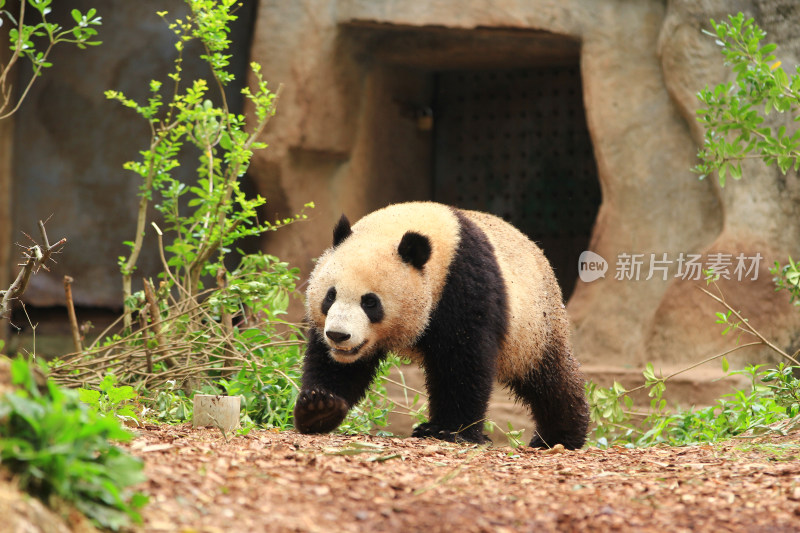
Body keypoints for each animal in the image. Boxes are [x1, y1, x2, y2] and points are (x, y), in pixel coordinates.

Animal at [292, 202, 588, 446]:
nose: (338, 335)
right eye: (330, 296)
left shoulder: (464, 282)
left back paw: (559, 436)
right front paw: (319, 407)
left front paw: (447, 430)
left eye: (370, 302)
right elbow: (339, 367)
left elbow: (462, 360)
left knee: (551, 380)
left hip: (536, 326)